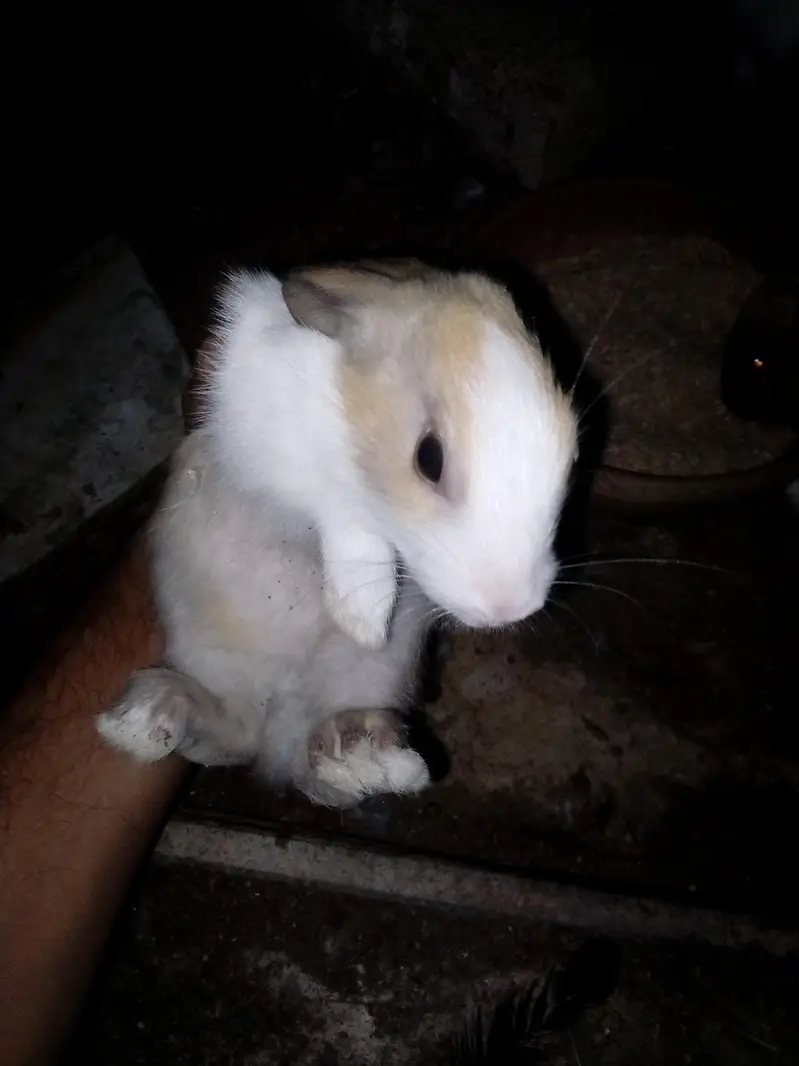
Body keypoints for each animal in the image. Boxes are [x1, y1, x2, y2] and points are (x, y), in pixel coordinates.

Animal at [96, 259, 578, 808]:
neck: (345, 422)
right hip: (215, 656)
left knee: (308, 764)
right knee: (231, 735)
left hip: (369, 677)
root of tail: (278, 732)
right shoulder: (278, 462)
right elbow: (347, 515)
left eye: (571, 453)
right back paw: (148, 717)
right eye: (428, 458)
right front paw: (362, 613)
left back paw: (361, 757)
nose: (508, 608)